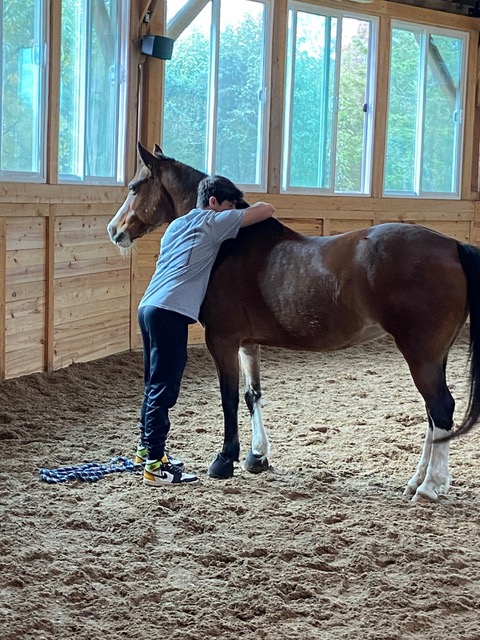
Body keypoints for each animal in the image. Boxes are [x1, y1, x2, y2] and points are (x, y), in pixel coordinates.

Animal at [107, 141, 480, 502]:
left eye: (135, 187)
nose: (114, 230)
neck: (232, 245)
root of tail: (452, 245)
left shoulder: (222, 339)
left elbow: (228, 398)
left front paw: (225, 459)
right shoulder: (246, 343)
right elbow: (252, 395)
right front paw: (256, 456)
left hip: (420, 354)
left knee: (441, 408)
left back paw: (429, 486)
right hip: (434, 356)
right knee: (433, 413)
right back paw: (418, 482)